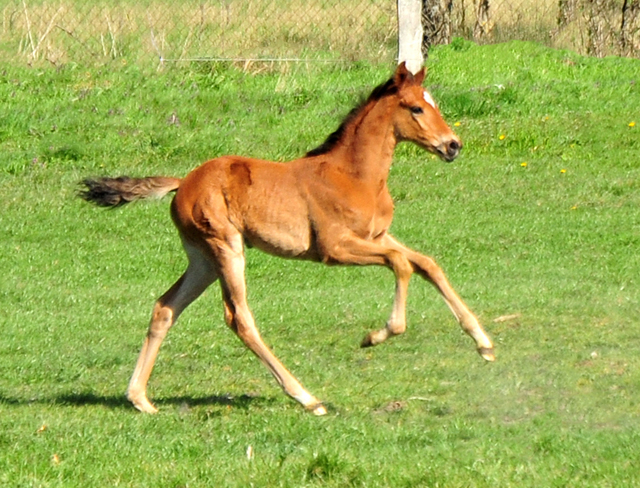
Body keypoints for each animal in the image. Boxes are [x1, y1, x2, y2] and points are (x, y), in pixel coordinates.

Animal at [80, 63, 496, 416]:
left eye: (433, 104)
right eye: (416, 108)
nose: (453, 145)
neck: (354, 175)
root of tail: (183, 183)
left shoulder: (378, 235)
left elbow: (426, 263)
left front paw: (484, 344)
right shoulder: (335, 248)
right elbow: (401, 264)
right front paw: (377, 335)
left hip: (203, 260)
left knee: (165, 307)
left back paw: (139, 398)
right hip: (226, 249)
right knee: (239, 318)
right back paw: (307, 398)